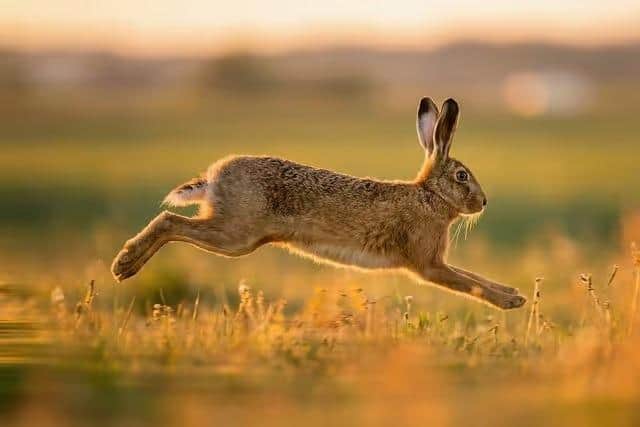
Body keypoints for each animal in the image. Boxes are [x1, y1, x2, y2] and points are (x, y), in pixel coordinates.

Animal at [111, 97, 526, 310]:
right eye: (462, 176)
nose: (483, 202)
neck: (430, 196)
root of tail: (214, 176)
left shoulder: (435, 261)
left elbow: (475, 277)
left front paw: (512, 293)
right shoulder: (427, 265)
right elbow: (468, 284)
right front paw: (511, 302)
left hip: (233, 235)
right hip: (234, 235)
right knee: (169, 221)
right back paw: (124, 265)